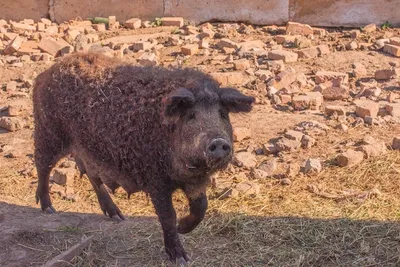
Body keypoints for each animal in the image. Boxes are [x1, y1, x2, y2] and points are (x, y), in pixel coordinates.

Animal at [32, 52, 255, 266]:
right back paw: (49, 209)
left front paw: (182, 228)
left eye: (222, 114)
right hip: (49, 132)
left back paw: (118, 216)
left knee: (92, 176)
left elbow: (201, 207)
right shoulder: (154, 176)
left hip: (88, 149)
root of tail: (46, 73)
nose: (218, 142)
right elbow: (167, 215)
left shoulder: (195, 183)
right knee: (42, 165)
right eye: (191, 115)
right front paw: (180, 258)